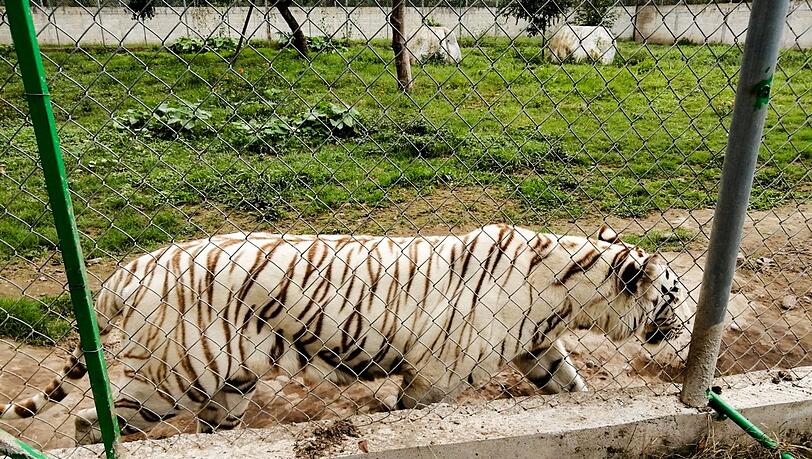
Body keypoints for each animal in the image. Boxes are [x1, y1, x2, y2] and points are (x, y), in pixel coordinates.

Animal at [0, 224, 685, 444]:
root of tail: (130, 268)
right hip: (173, 376)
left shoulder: (539, 346)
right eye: (675, 294)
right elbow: (414, 412)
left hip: (230, 383)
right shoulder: (437, 375)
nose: (685, 329)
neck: (566, 296)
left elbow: (570, 389)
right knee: (90, 421)